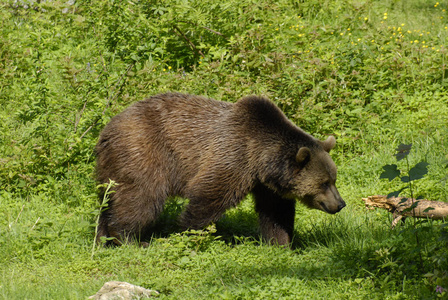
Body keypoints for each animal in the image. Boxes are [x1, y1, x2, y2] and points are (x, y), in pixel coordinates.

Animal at [95, 92, 346, 245]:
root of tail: (107, 129)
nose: (340, 204)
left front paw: (281, 243)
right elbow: (209, 196)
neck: (260, 159)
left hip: (112, 168)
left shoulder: (268, 184)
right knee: (141, 197)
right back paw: (130, 239)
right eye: (324, 183)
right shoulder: (233, 156)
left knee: (108, 201)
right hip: (144, 152)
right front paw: (188, 232)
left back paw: (104, 238)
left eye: (333, 179)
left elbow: (275, 212)